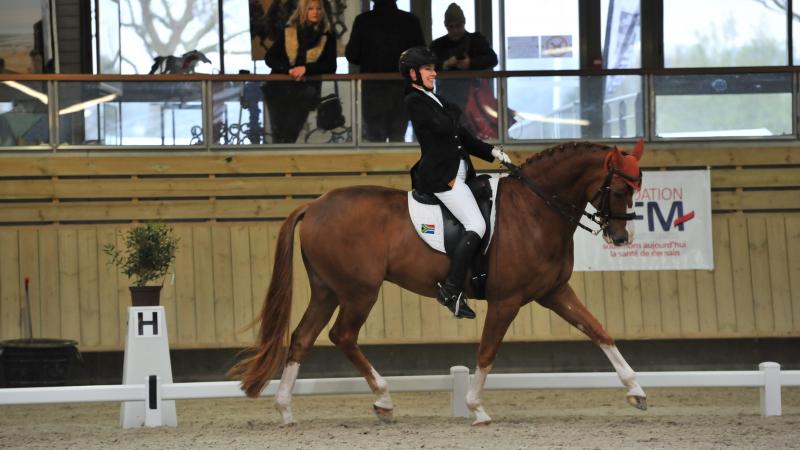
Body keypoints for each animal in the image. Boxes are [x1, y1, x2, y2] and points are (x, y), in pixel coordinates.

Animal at [228, 141, 648, 426]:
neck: (534, 210)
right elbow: (487, 352)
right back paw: (383, 400)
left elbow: (598, 331)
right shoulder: (506, 301)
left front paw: (636, 390)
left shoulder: (554, 292)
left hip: (328, 290)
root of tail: (314, 205)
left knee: (302, 338)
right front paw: (477, 408)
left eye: (636, 189)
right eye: (620, 189)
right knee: (342, 336)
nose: (621, 238)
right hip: (359, 292)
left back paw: (285, 409)